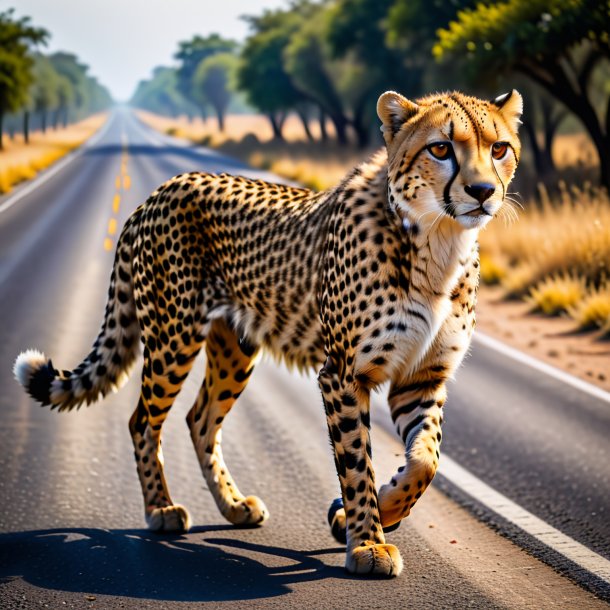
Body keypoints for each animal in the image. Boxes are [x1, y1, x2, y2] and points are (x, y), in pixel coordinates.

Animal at [14, 89, 516, 576]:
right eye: (440, 148)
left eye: (499, 148)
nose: (483, 191)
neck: (437, 240)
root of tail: (159, 191)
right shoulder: (343, 374)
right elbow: (357, 462)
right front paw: (368, 542)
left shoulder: (421, 378)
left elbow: (424, 462)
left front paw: (371, 512)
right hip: (174, 337)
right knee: (143, 420)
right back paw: (161, 509)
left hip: (235, 348)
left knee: (200, 419)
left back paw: (234, 505)